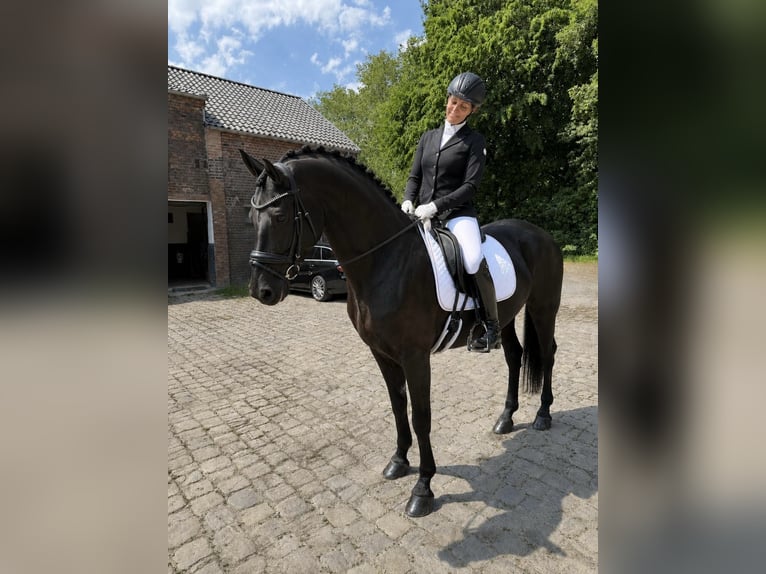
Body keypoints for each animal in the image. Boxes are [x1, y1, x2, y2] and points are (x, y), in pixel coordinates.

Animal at [240, 146, 563, 517]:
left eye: (279, 216)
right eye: (251, 218)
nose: (261, 291)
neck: (385, 259)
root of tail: (542, 234)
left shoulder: (415, 356)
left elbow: (421, 415)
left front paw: (423, 488)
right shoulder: (382, 353)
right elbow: (397, 406)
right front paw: (398, 461)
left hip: (543, 309)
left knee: (548, 354)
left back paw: (542, 415)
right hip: (507, 316)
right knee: (514, 356)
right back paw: (506, 419)